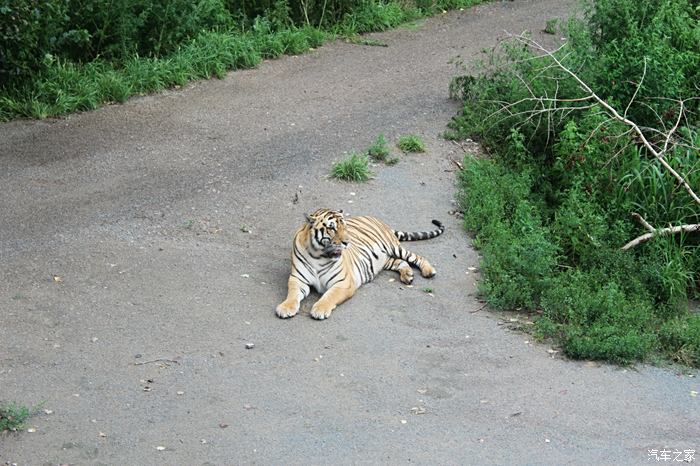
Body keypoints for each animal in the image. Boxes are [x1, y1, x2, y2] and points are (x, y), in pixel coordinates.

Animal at [274, 208, 442, 320]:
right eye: (331, 228)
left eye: (345, 227)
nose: (347, 242)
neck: (318, 254)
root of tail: (377, 219)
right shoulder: (298, 279)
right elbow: (293, 293)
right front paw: (285, 307)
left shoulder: (343, 283)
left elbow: (329, 296)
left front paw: (320, 309)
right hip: (384, 260)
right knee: (400, 262)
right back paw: (408, 276)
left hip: (393, 247)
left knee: (415, 257)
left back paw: (428, 271)